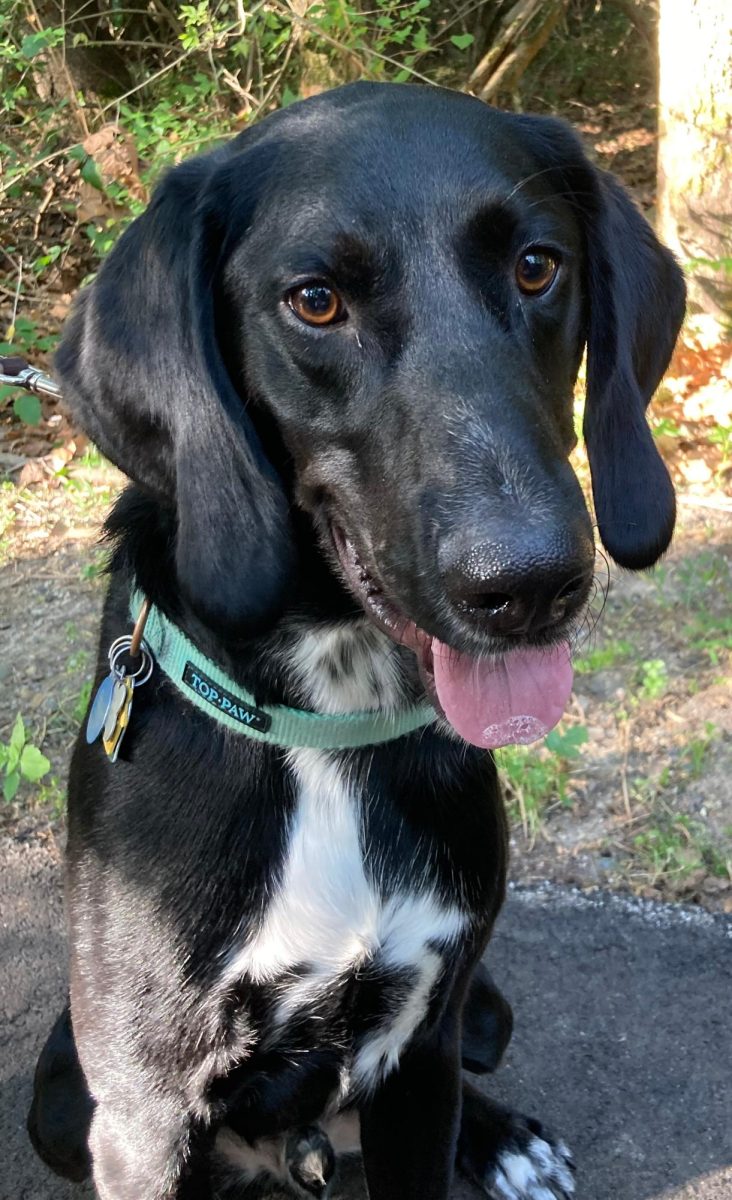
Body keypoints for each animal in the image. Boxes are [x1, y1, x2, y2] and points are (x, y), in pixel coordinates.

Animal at [25, 79, 681, 1195]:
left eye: (537, 265)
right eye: (315, 301)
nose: (530, 585)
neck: (324, 729)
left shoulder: (422, 1049)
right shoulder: (144, 1112)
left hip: (481, 1012)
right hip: (62, 1103)